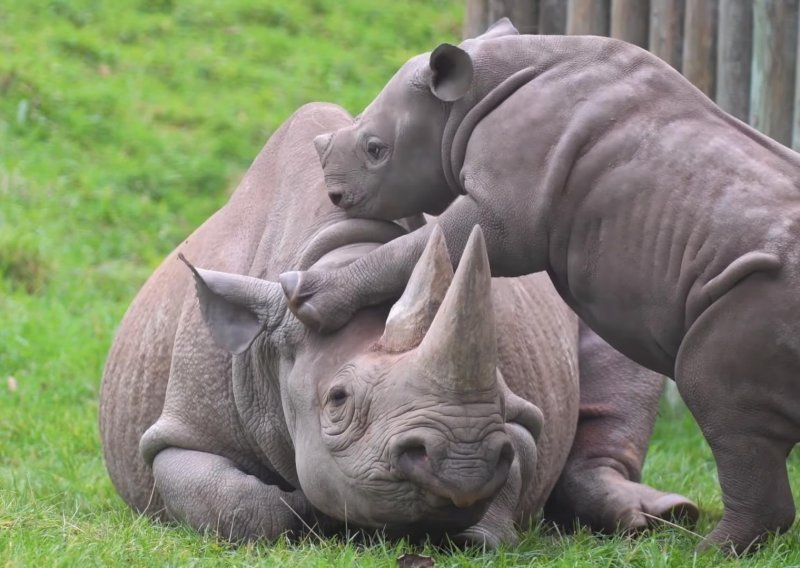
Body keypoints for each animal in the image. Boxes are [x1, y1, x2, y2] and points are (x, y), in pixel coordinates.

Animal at [282, 20, 800, 552]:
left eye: (375, 149)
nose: (335, 194)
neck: (470, 95)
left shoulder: (507, 210)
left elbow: (428, 243)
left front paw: (306, 296)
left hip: (759, 298)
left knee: (714, 395)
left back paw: (709, 550)